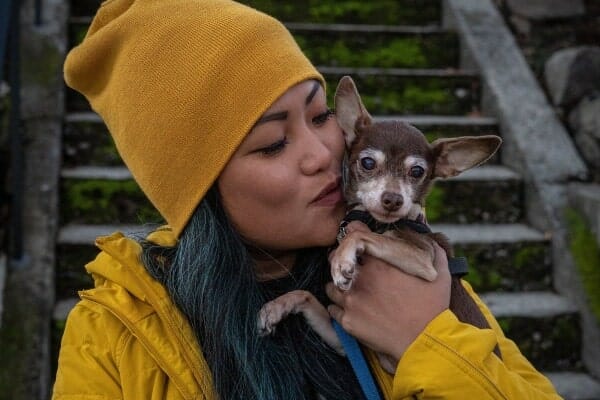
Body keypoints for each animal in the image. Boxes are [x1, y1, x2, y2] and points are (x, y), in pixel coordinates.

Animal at [258, 75, 502, 368]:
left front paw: (342, 260)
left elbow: (361, 235)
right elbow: (307, 296)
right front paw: (278, 306)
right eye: (367, 163)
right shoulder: (346, 344)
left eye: (417, 171)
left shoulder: (424, 258)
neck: (376, 222)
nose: (393, 199)